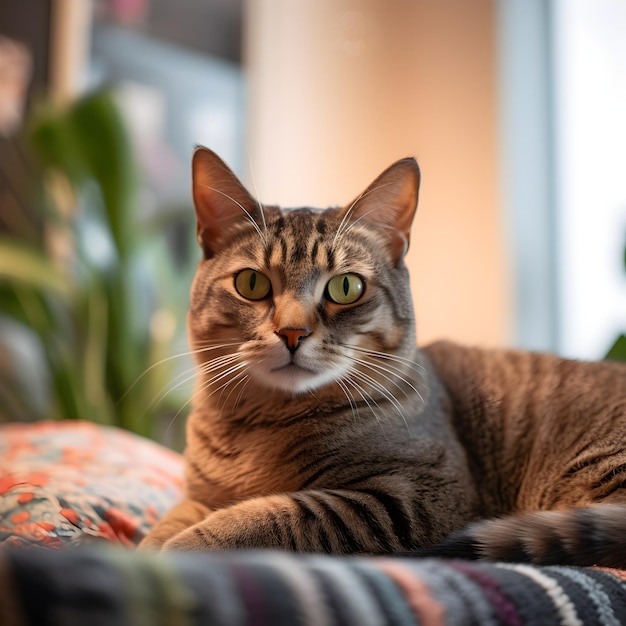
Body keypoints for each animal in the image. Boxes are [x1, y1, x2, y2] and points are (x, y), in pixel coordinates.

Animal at [141, 146, 624, 564]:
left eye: (345, 287)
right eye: (251, 283)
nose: (292, 332)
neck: (257, 429)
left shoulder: (418, 499)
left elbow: (271, 516)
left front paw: (181, 549)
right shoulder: (198, 495)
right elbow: (175, 516)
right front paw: (150, 543)